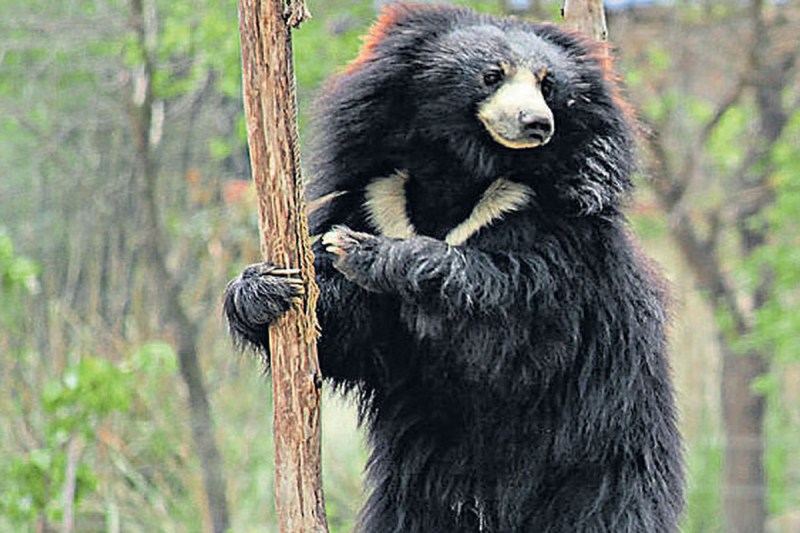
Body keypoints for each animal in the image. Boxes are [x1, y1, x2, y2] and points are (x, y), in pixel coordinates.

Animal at [224, 3, 684, 532]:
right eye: (492, 75)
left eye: (548, 84)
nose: (537, 124)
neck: (459, 171)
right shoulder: (375, 196)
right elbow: (349, 333)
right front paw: (262, 291)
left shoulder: (556, 234)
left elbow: (514, 323)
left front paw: (368, 253)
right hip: (420, 490)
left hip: (605, 459)